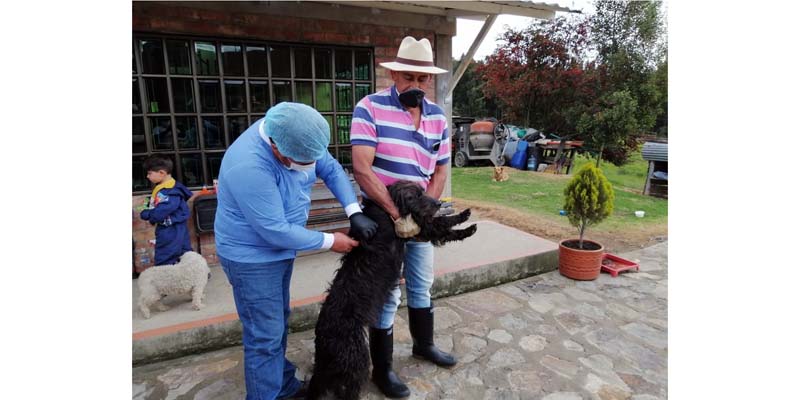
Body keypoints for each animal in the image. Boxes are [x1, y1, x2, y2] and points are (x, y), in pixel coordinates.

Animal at [308, 181, 478, 400]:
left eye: (424, 192)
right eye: (415, 195)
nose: (439, 203)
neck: (386, 209)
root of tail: (322, 338)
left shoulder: (418, 231)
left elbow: (439, 224)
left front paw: (463, 216)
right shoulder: (419, 228)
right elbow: (440, 225)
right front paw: (467, 223)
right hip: (356, 359)